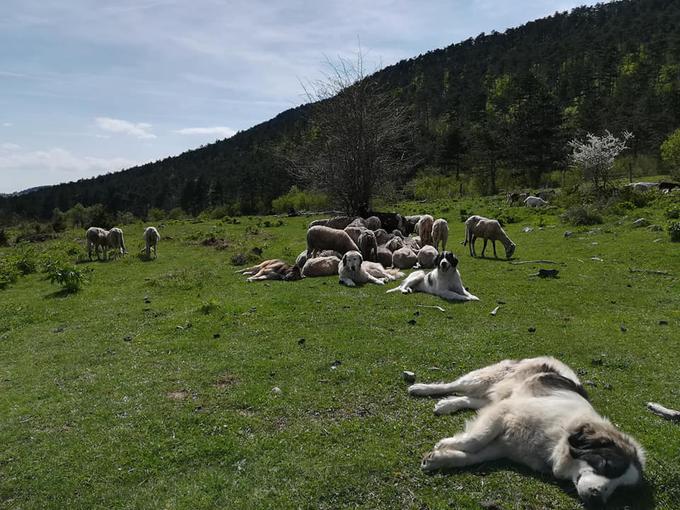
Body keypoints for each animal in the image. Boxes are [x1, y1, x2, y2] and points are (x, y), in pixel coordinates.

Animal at [406, 356, 644, 508]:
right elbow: (476, 439)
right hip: (487, 378)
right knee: (454, 385)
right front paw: (447, 444)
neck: (559, 437)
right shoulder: (505, 411)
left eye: (619, 490)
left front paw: (439, 458)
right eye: (606, 465)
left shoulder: (503, 445)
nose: (598, 501)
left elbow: (471, 456)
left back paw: (448, 405)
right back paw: (422, 388)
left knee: (472, 400)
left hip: (495, 395)